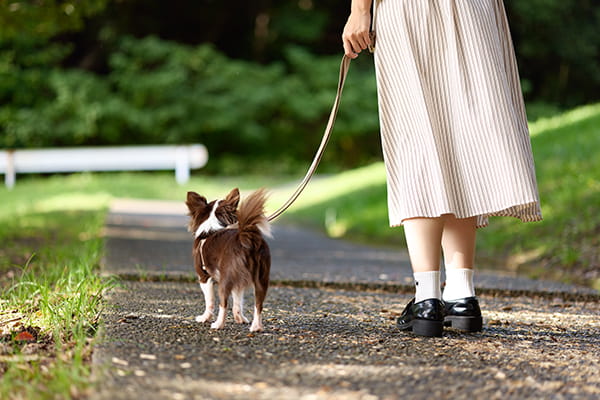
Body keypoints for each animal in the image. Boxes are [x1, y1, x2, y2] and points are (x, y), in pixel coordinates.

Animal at [185, 188, 272, 332]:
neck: (212, 228)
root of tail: (245, 238)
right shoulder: (239, 282)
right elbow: (238, 302)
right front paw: (240, 318)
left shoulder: (204, 278)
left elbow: (209, 301)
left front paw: (204, 318)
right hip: (261, 279)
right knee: (259, 305)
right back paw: (256, 327)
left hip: (225, 279)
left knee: (223, 303)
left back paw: (218, 324)